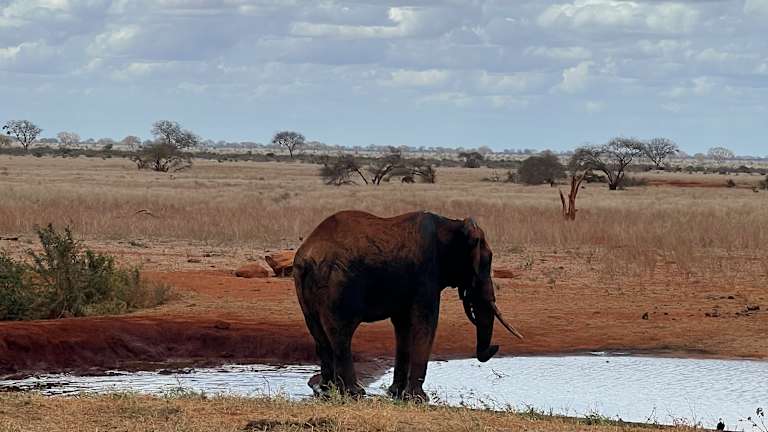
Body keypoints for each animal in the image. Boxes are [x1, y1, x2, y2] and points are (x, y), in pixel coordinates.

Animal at [293, 210, 523, 400]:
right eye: (487, 260)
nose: (496, 347)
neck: (452, 224)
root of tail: (308, 254)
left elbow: (403, 326)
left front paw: (396, 393)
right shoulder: (426, 274)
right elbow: (426, 322)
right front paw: (419, 399)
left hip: (307, 288)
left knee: (319, 334)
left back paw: (325, 390)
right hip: (337, 284)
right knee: (341, 333)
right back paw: (354, 393)